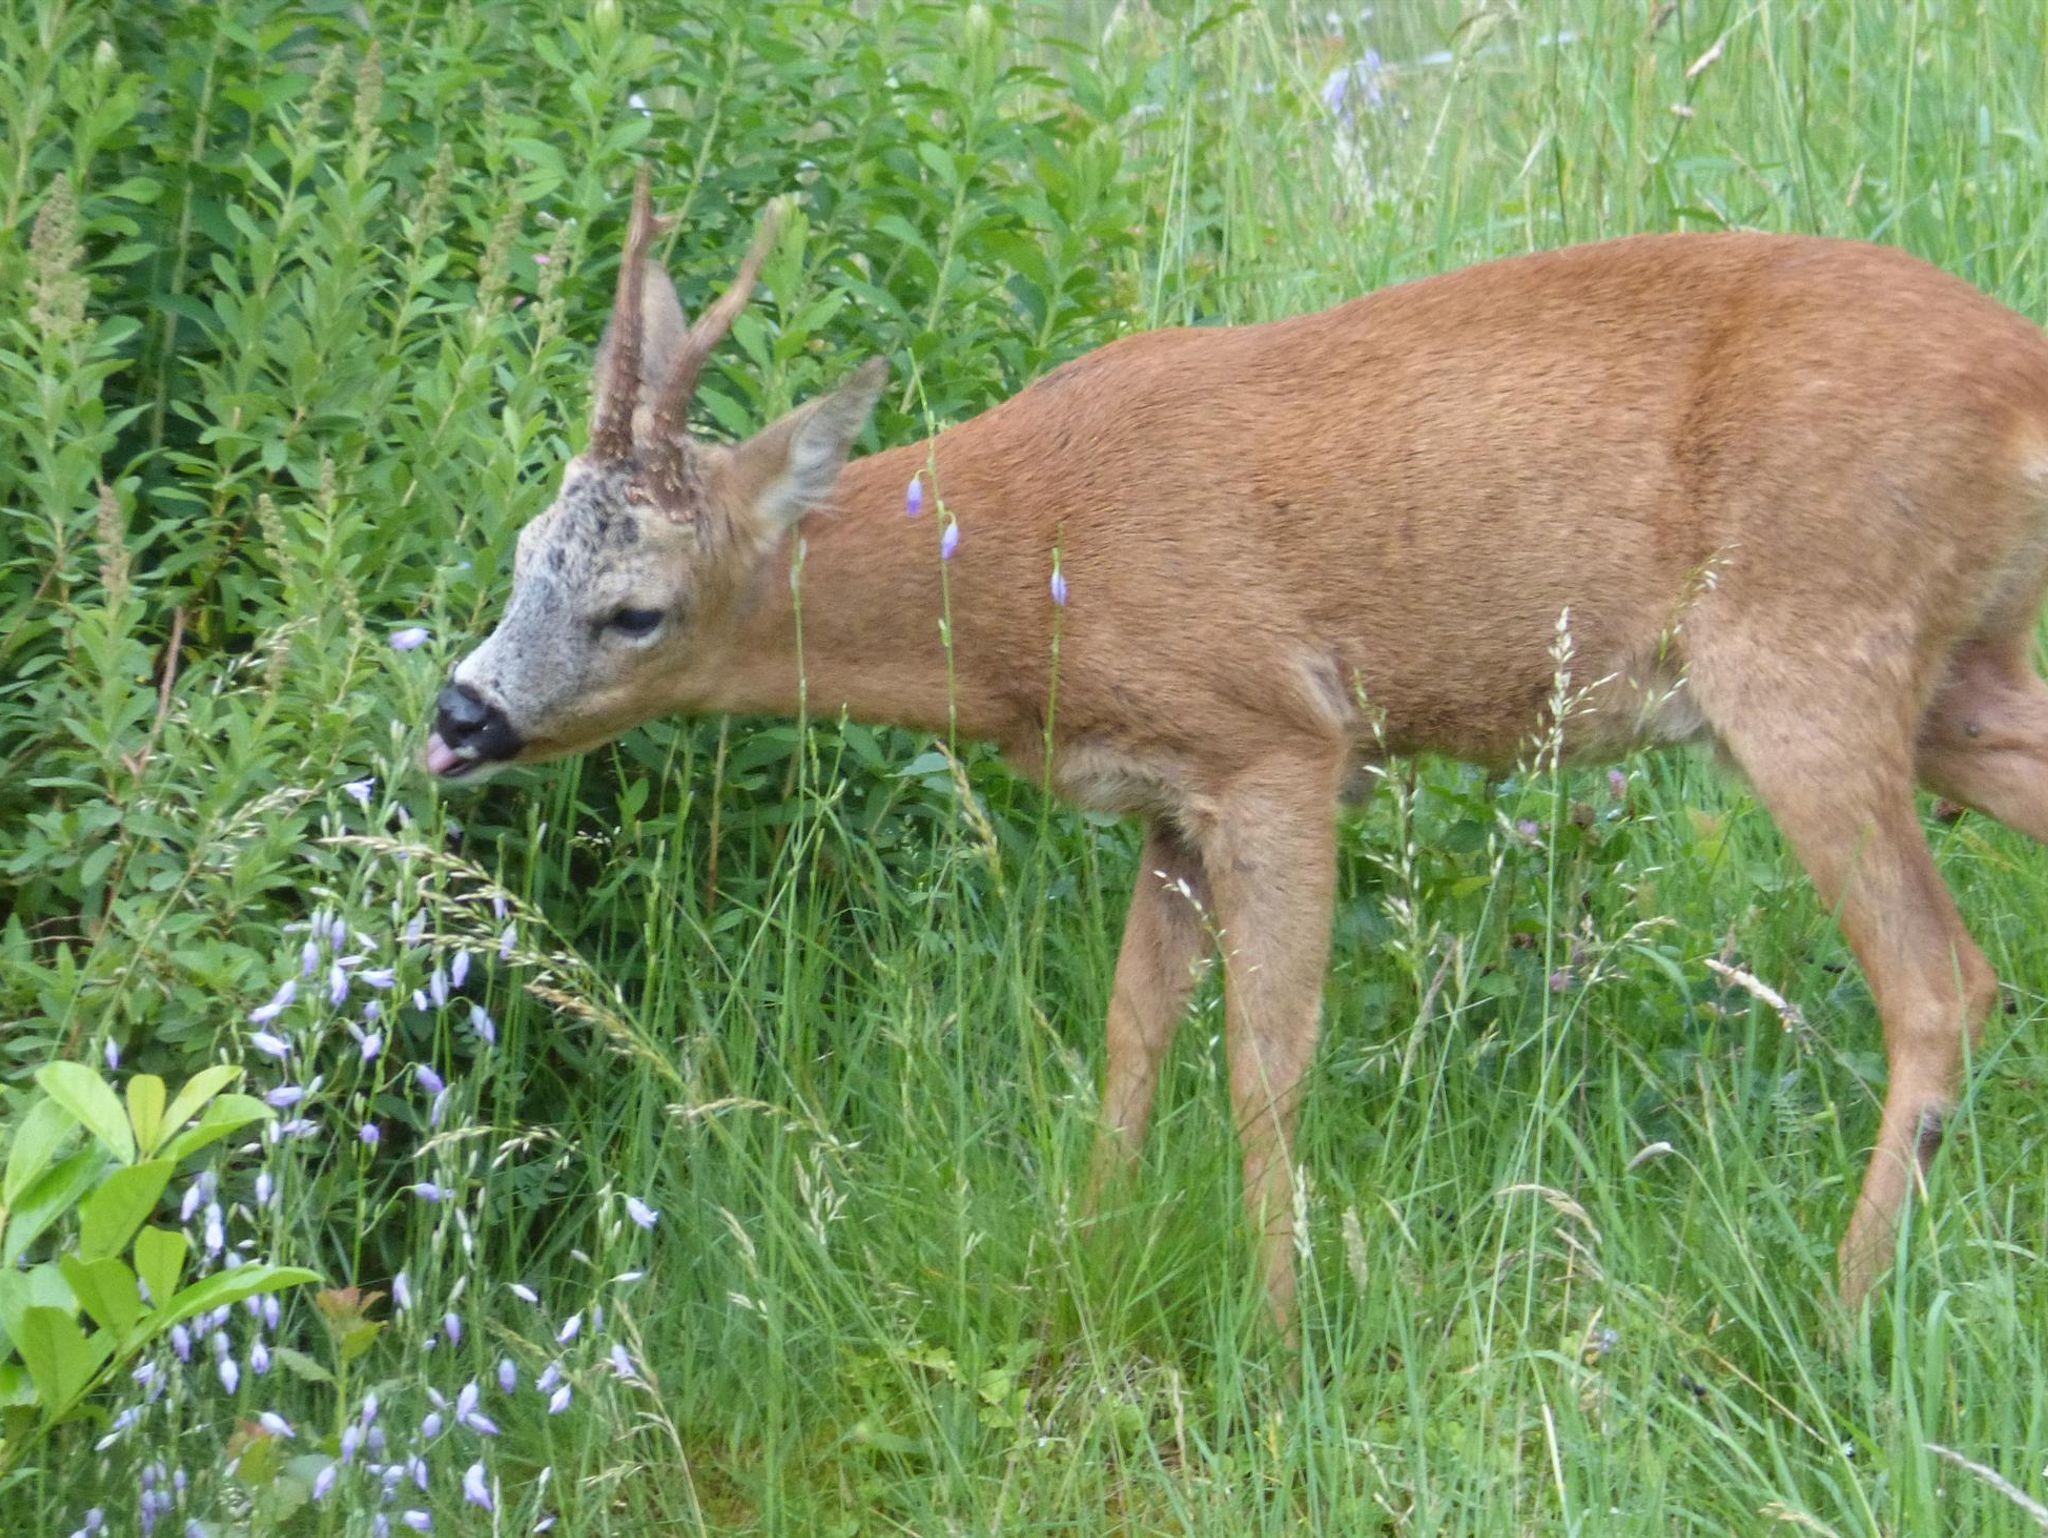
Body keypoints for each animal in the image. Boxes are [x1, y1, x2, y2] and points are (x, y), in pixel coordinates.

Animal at [425, 166, 2048, 1335]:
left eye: (633, 608)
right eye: (517, 552)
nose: (458, 717)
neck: (1030, 579)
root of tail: (2025, 374)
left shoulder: (1281, 743)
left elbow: (1266, 1059)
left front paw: (1276, 1324)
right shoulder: (1167, 796)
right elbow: (1133, 1032)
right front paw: (1090, 1245)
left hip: (1804, 652)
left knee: (1940, 980)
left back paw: (1838, 1316)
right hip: (1955, 673)